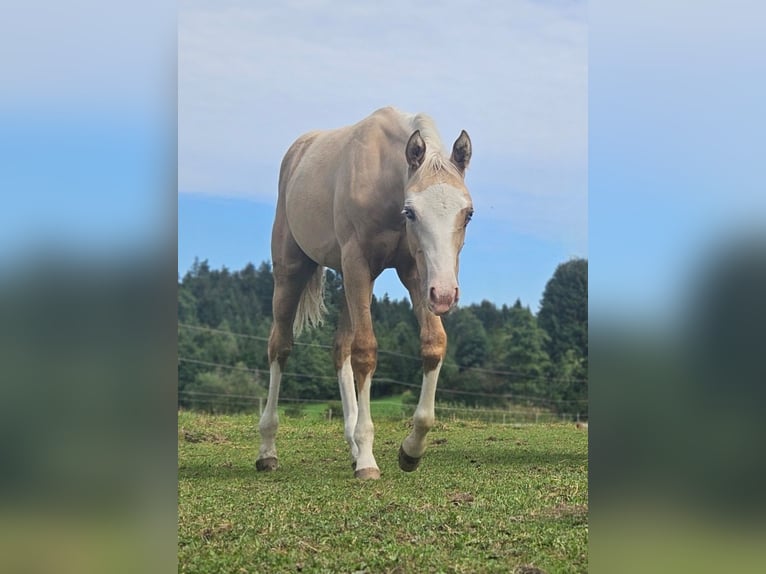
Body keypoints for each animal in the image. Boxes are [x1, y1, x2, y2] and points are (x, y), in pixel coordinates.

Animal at [256, 107, 474, 479]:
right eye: (411, 212)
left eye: (468, 214)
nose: (445, 294)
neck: (385, 180)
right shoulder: (358, 262)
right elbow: (366, 352)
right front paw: (369, 460)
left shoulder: (414, 271)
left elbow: (433, 344)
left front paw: (410, 450)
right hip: (292, 271)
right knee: (279, 347)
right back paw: (269, 450)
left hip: (351, 281)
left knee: (339, 349)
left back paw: (354, 448)